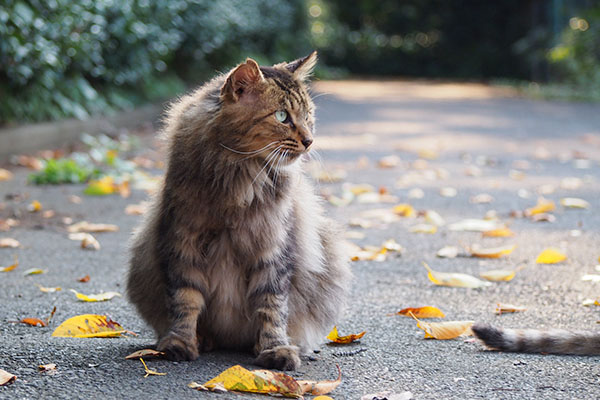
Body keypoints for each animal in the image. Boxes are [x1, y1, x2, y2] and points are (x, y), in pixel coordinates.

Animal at [126, 51, 352, 370]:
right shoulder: (182, 242)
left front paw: (275, 349)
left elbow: (272, 306)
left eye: (308, 115)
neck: (239, 174)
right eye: (282, 116)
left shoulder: (273, 249)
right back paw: (204, 339)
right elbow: (185, 300)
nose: (309, 141)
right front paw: (180, 343)